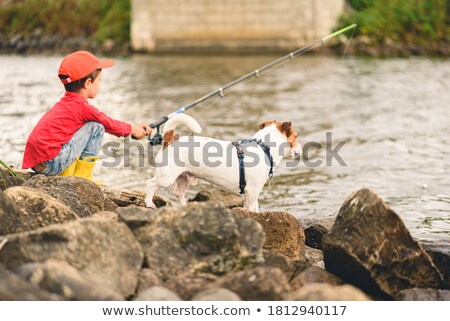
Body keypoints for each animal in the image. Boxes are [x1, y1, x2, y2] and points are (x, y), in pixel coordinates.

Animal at [144, 114, 300, 211]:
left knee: (178, 193)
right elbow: (250, 208)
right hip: (166, 177)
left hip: (183, 177)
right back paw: (149, 203)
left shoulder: (254, 192)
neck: (264, 146)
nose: (300, 150)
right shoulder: (252, 191)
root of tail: (169, 141)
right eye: (296, 136)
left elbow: (255, 207)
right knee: (150, 184)